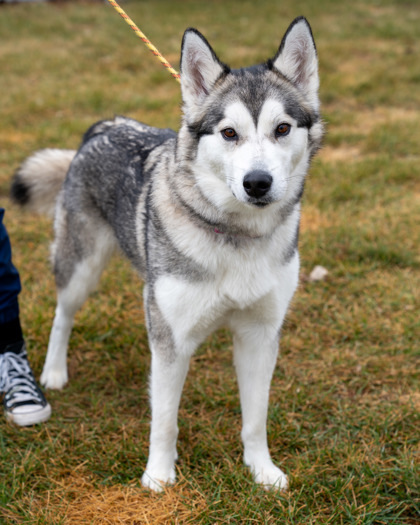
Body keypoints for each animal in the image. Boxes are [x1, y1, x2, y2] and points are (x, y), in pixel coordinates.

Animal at [11, 17, 324, 492]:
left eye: (283, 129)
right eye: (229, 133)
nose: (257, 183)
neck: (235, 235)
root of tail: (106, 125)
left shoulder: (259, 335)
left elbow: (255, 418)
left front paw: (262, 471)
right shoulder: (171, 341)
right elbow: (164, 420)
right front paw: (158, 475)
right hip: (81, 267)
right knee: (62, 315)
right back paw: (53, 373)